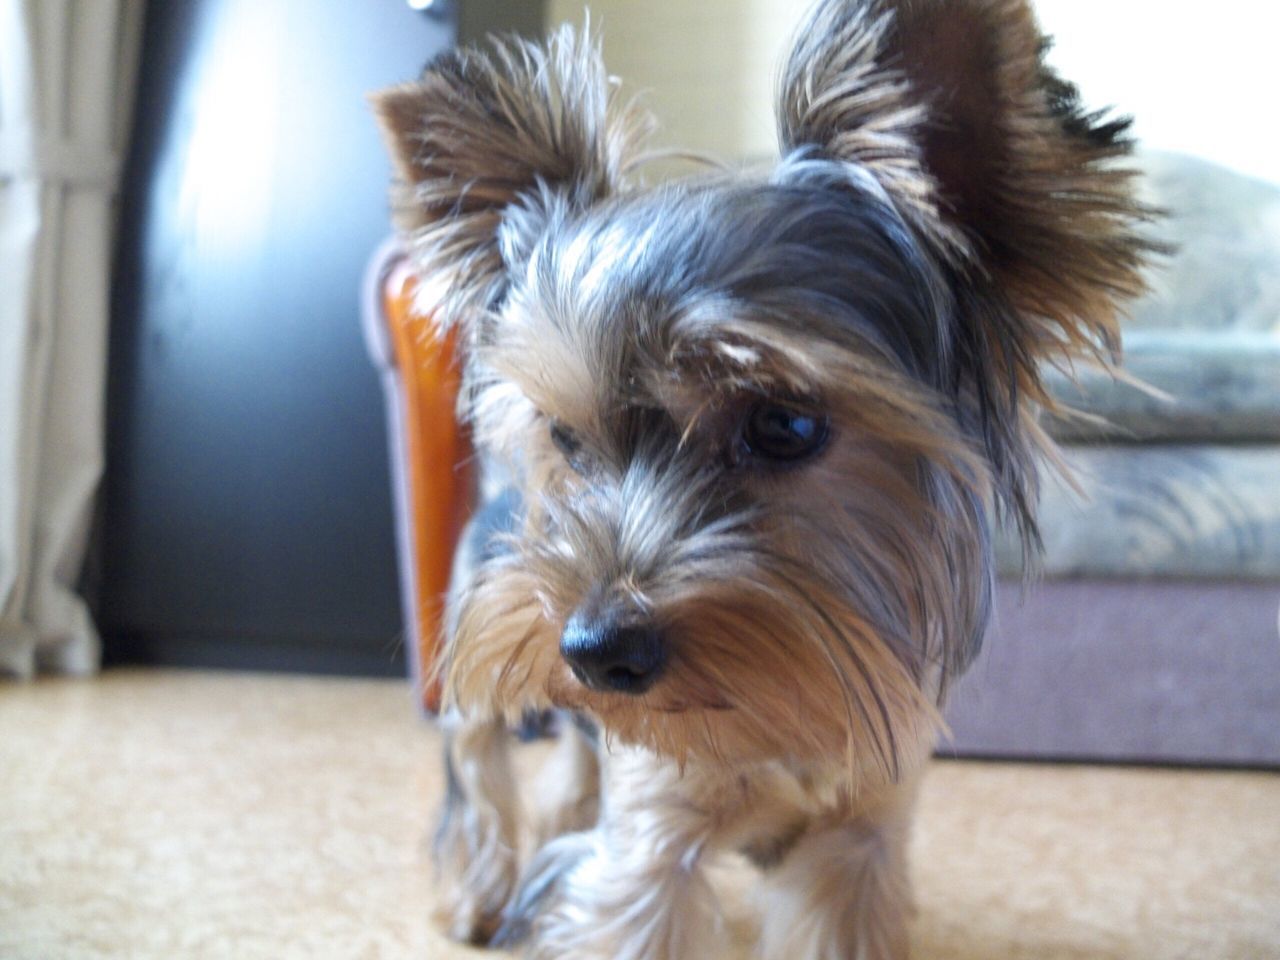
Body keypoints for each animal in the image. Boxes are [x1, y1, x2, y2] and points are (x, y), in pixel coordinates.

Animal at [373, 1, 1157, 957]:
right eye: (566, 436)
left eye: (785, 425)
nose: (594, 650)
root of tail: (498, 493)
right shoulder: (653, 841)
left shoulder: (863, 831)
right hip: (475, 647)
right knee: (477, 766)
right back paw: (478, 897)